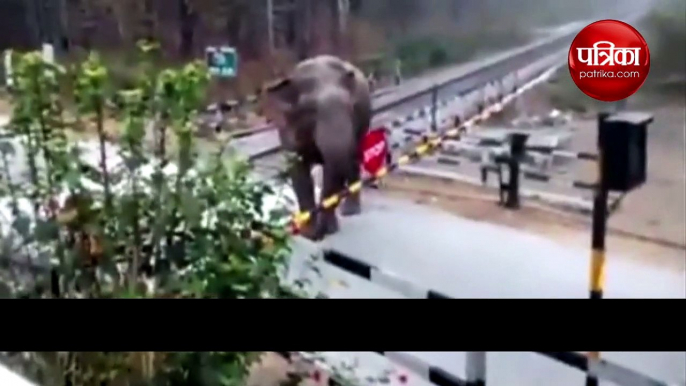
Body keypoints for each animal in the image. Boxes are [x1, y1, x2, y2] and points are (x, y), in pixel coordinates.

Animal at [264, 55, 374, 241]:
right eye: (311, 110)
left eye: (351, 108)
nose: (319, 235)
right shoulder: (287, 126)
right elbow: (298, 170)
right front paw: (308, 232)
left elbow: (333, 169)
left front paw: (328, 229)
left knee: (351, 159)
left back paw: (350, 211)